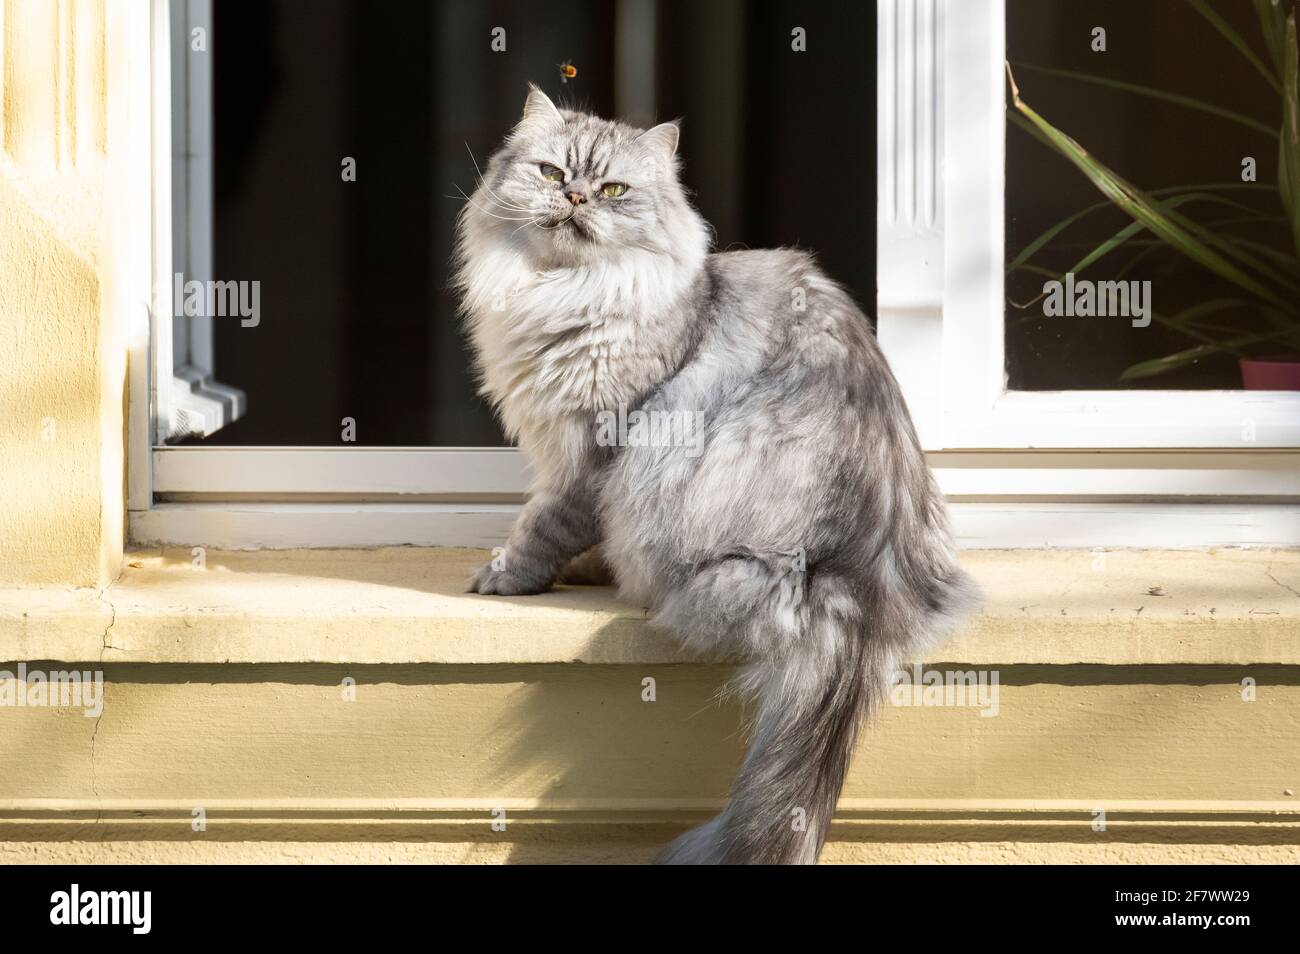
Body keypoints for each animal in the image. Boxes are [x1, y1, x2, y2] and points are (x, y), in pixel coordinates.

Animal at [454, 87, 977, 868]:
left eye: (613, 190)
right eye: (552, 173)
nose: (575, 197)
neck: (563, 292)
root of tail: (861, 579)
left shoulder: (595, 446)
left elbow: (545, 525)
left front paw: (509, 576)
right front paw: (581, 570)